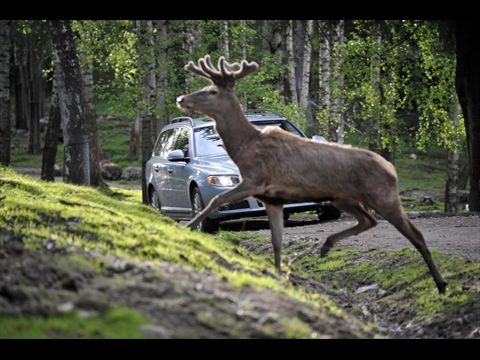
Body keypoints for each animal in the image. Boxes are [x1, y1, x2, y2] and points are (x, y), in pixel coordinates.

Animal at [176, 54, 450, 294]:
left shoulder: (255, 180)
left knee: (416, 234)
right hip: (343, 198)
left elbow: (215, 199)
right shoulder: (272, 199)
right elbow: (276, 242)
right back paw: (326, 246)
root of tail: (392, 169)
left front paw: (187, 227)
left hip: (383, 196)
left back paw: (441, 284)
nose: (181, 98)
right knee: (369, 221)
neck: (244, 148)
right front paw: (279, 274)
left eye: (211, 91)